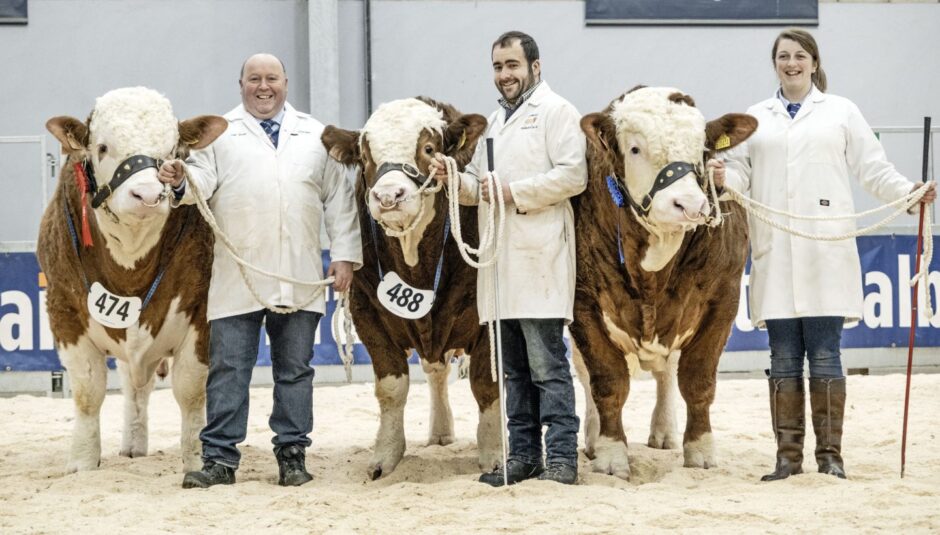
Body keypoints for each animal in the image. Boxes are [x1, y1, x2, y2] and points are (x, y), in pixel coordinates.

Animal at [320, 98, 504, 480]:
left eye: (429, 149)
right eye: (365, 156)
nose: (389, 195)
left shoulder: (487, 316)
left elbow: (486, 383)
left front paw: (495, 454)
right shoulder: (367, 311)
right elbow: (392, 386)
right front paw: (385, 456)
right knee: (436, 370)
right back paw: (440, 431)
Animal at [564, 86, 756, 480]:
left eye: (702, 149)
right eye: (635, 148)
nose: (689, 204)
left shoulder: (724, 299)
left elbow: (697, 379)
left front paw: (700, 449)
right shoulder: (583, 303)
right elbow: (607, 380)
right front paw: (610, 452)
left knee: (667, 371)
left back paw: (665, 431)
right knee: (586, 377)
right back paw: (592, 438)